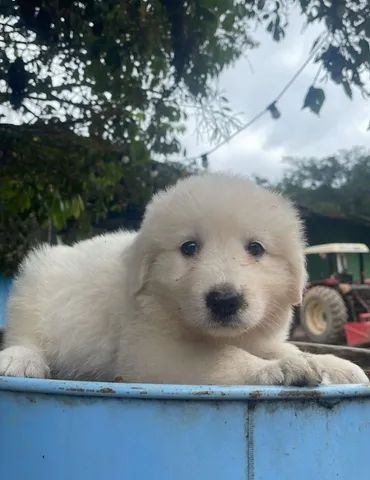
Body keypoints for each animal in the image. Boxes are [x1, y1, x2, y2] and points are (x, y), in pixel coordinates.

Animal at [0, 174, 368, 384]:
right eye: (189, 247)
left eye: (256, 248)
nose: (224, 301)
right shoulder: (150, 353)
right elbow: (225, 359)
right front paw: (276, 370)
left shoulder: (259, 336)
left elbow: (288, 349)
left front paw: (335, 365)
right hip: (33, 284)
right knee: (23, 335)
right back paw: (20, 359)